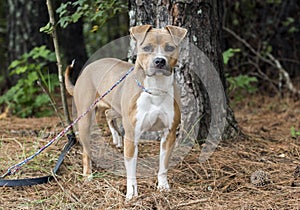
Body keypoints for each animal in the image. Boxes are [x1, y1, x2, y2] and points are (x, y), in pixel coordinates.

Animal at [65, 25, 186, 200]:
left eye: (170, 47)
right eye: (146, 48)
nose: (159, 61)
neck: (155, 89)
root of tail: (87, 69)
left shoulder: (169, 134)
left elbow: (163, 165)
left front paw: (163, 187)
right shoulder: (132, 135)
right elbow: (131, 171)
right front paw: (131, 194)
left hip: (116, 107)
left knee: (109, 114)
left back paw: (116, 138)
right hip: (85, 118)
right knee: (86, 150)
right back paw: (88, 173)